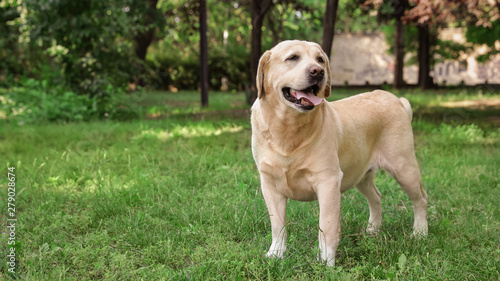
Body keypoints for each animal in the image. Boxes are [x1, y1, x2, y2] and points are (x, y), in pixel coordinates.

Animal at [252, 39, 428, 264]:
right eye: (292, 57)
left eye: (320, 59)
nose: (318, 71)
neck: (288, 131)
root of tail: (397, 100)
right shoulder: (269, 184)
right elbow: (277, 225)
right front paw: (276, 254)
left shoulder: (328, 182)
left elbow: (326, 226)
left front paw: (326, 262)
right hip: (360, 174)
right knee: (376, 196)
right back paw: (373, 229)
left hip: (404, 168)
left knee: (420, 199)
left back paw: (420, 232)